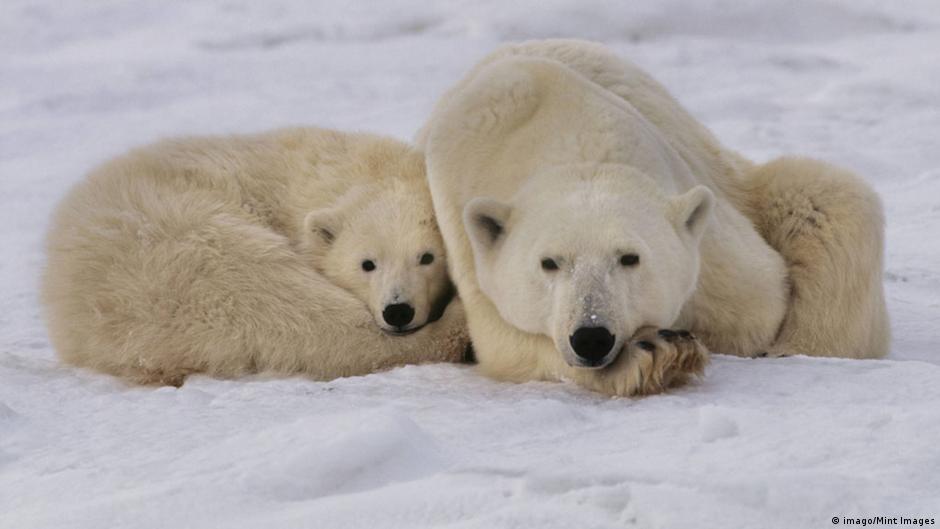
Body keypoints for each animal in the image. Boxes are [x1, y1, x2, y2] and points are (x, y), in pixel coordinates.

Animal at [418, 39, 888, 397]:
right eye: (549, 263)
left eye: (630, 257)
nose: (592, 336)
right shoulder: (464, 235)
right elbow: (509, 343)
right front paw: (652, 356)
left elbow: (758, 300)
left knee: (829, 200)